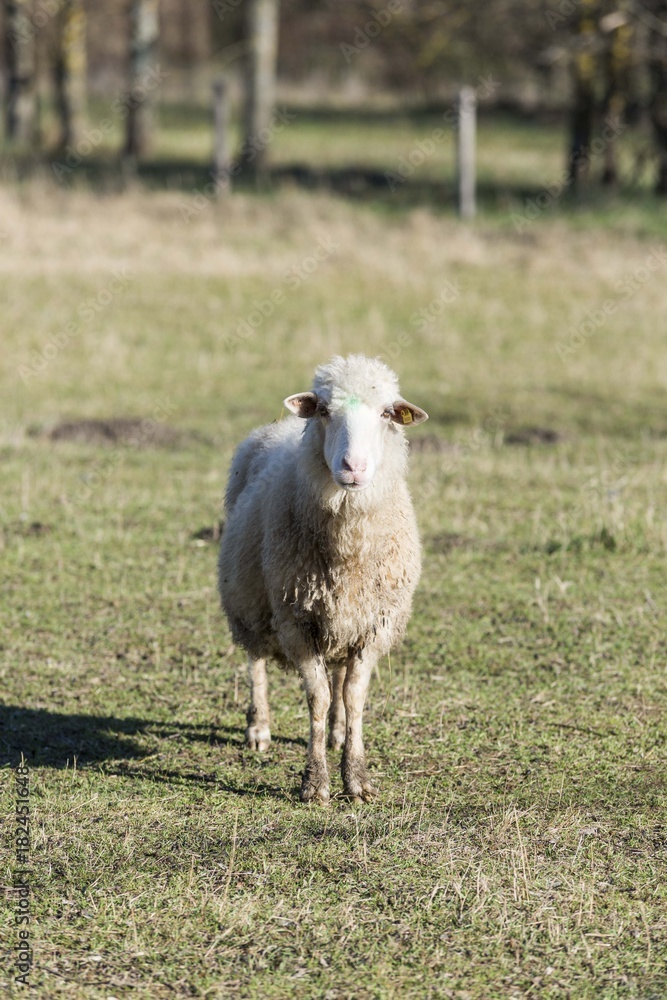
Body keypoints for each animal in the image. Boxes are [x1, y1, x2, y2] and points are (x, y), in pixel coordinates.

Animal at [218, 354, 428, 803]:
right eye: (325, 411)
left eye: (387, 414)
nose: (353, 467)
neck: (347, 551)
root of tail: (281, 424)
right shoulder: (296, 620)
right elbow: (317, 697)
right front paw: (315, 782)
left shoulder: (372, 623)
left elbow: (353, 696)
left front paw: (357, 777)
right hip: (251, 599)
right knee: (256, 661)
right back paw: (259, 728)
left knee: (338, 674)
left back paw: (337, 734)